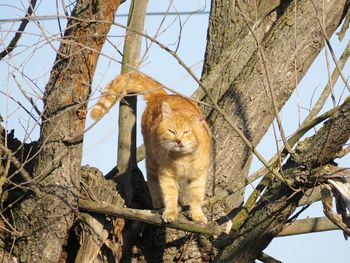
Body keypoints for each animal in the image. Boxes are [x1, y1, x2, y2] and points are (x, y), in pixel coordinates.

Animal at [91, 72, 211, 225]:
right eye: (171, 131)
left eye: (186, 132)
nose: (178, 140)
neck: (183, 158)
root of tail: (160, 95)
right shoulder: (167, 175)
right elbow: (170, 195)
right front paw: (170, 212)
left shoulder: (199, 177)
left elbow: (197, 198)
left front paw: (197, 215)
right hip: (152, 159)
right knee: (152, 180)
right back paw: (158, 202)